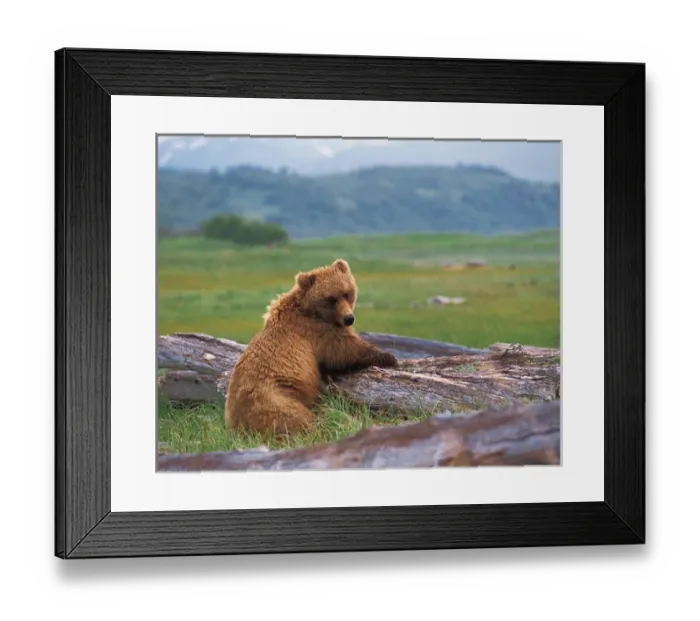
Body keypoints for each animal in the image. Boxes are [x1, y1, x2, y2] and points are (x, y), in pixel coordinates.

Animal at [224, 258, 399, 438]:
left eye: (346, 293)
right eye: (331, 298)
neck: (311, 310)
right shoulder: (315, 331)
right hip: (276, 399)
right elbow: (342, 350)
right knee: (298, 418)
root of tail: (235, 426)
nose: (349, 318)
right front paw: (389, 357)